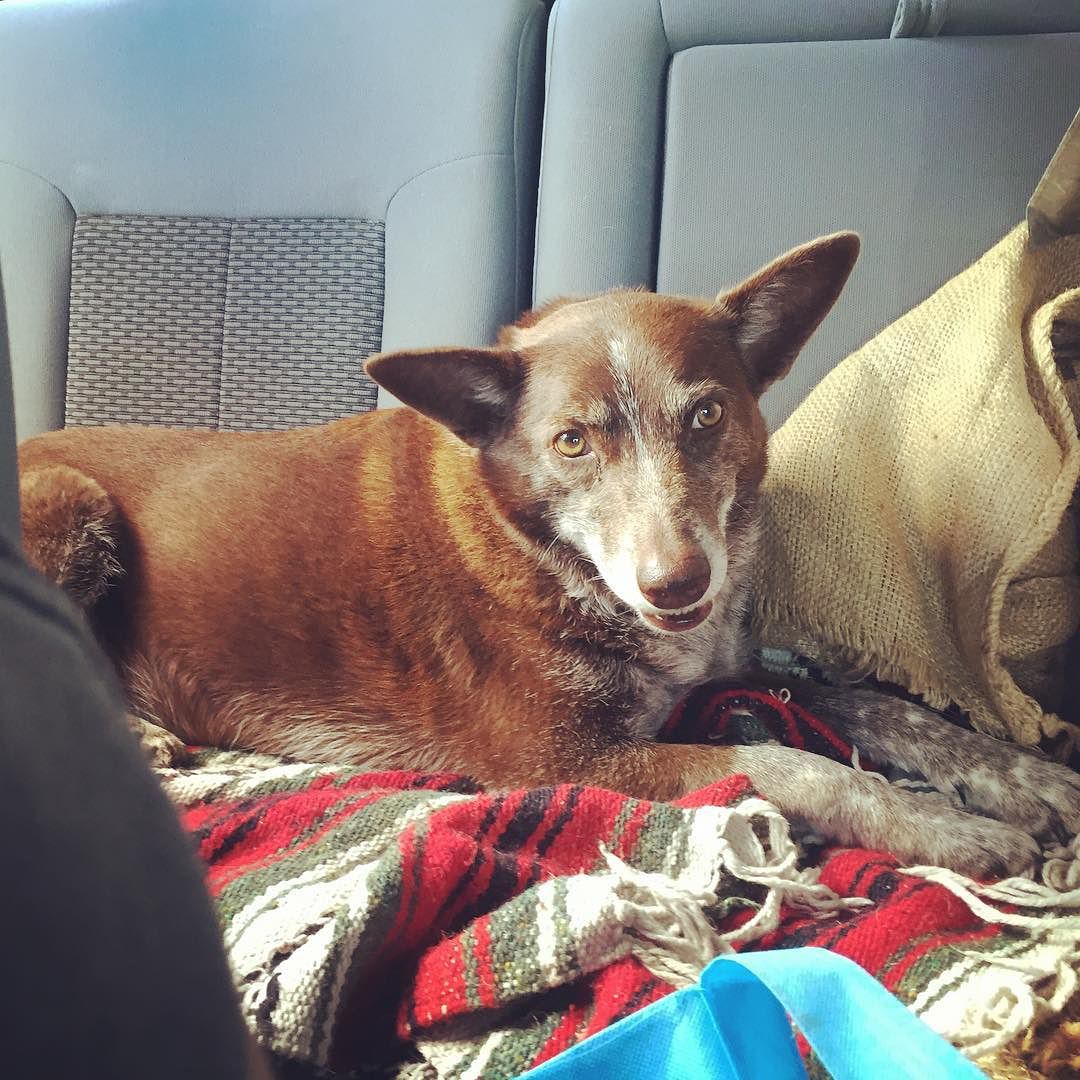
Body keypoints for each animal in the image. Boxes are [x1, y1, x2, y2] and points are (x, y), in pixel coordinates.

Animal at [19, 234, 1080, 876]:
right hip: (71, 504)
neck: (541, 551)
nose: (678, 583)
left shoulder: (722, 673)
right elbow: (788, 763)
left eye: (707, 416)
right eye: (572, 442)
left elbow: (869, 705)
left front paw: (1021, 777)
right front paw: (946, 827)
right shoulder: (560, 758)